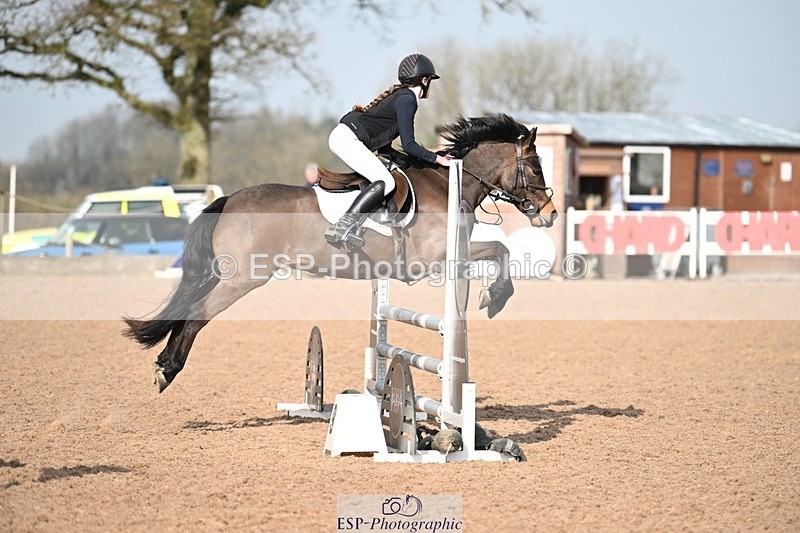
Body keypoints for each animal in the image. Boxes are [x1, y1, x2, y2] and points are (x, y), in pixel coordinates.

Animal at [123, 114, 557, 392]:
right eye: (536, 168)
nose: (550, 214)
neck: (448, 185)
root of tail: (228, 200)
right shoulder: (436, 259)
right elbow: (500, 249)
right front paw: (495, 297)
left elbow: (499, 249)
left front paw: (493, 295)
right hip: (242, 278)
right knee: (198, 313)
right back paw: (169, 371)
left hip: (224, 274)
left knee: (187, 307)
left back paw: (163, 364)